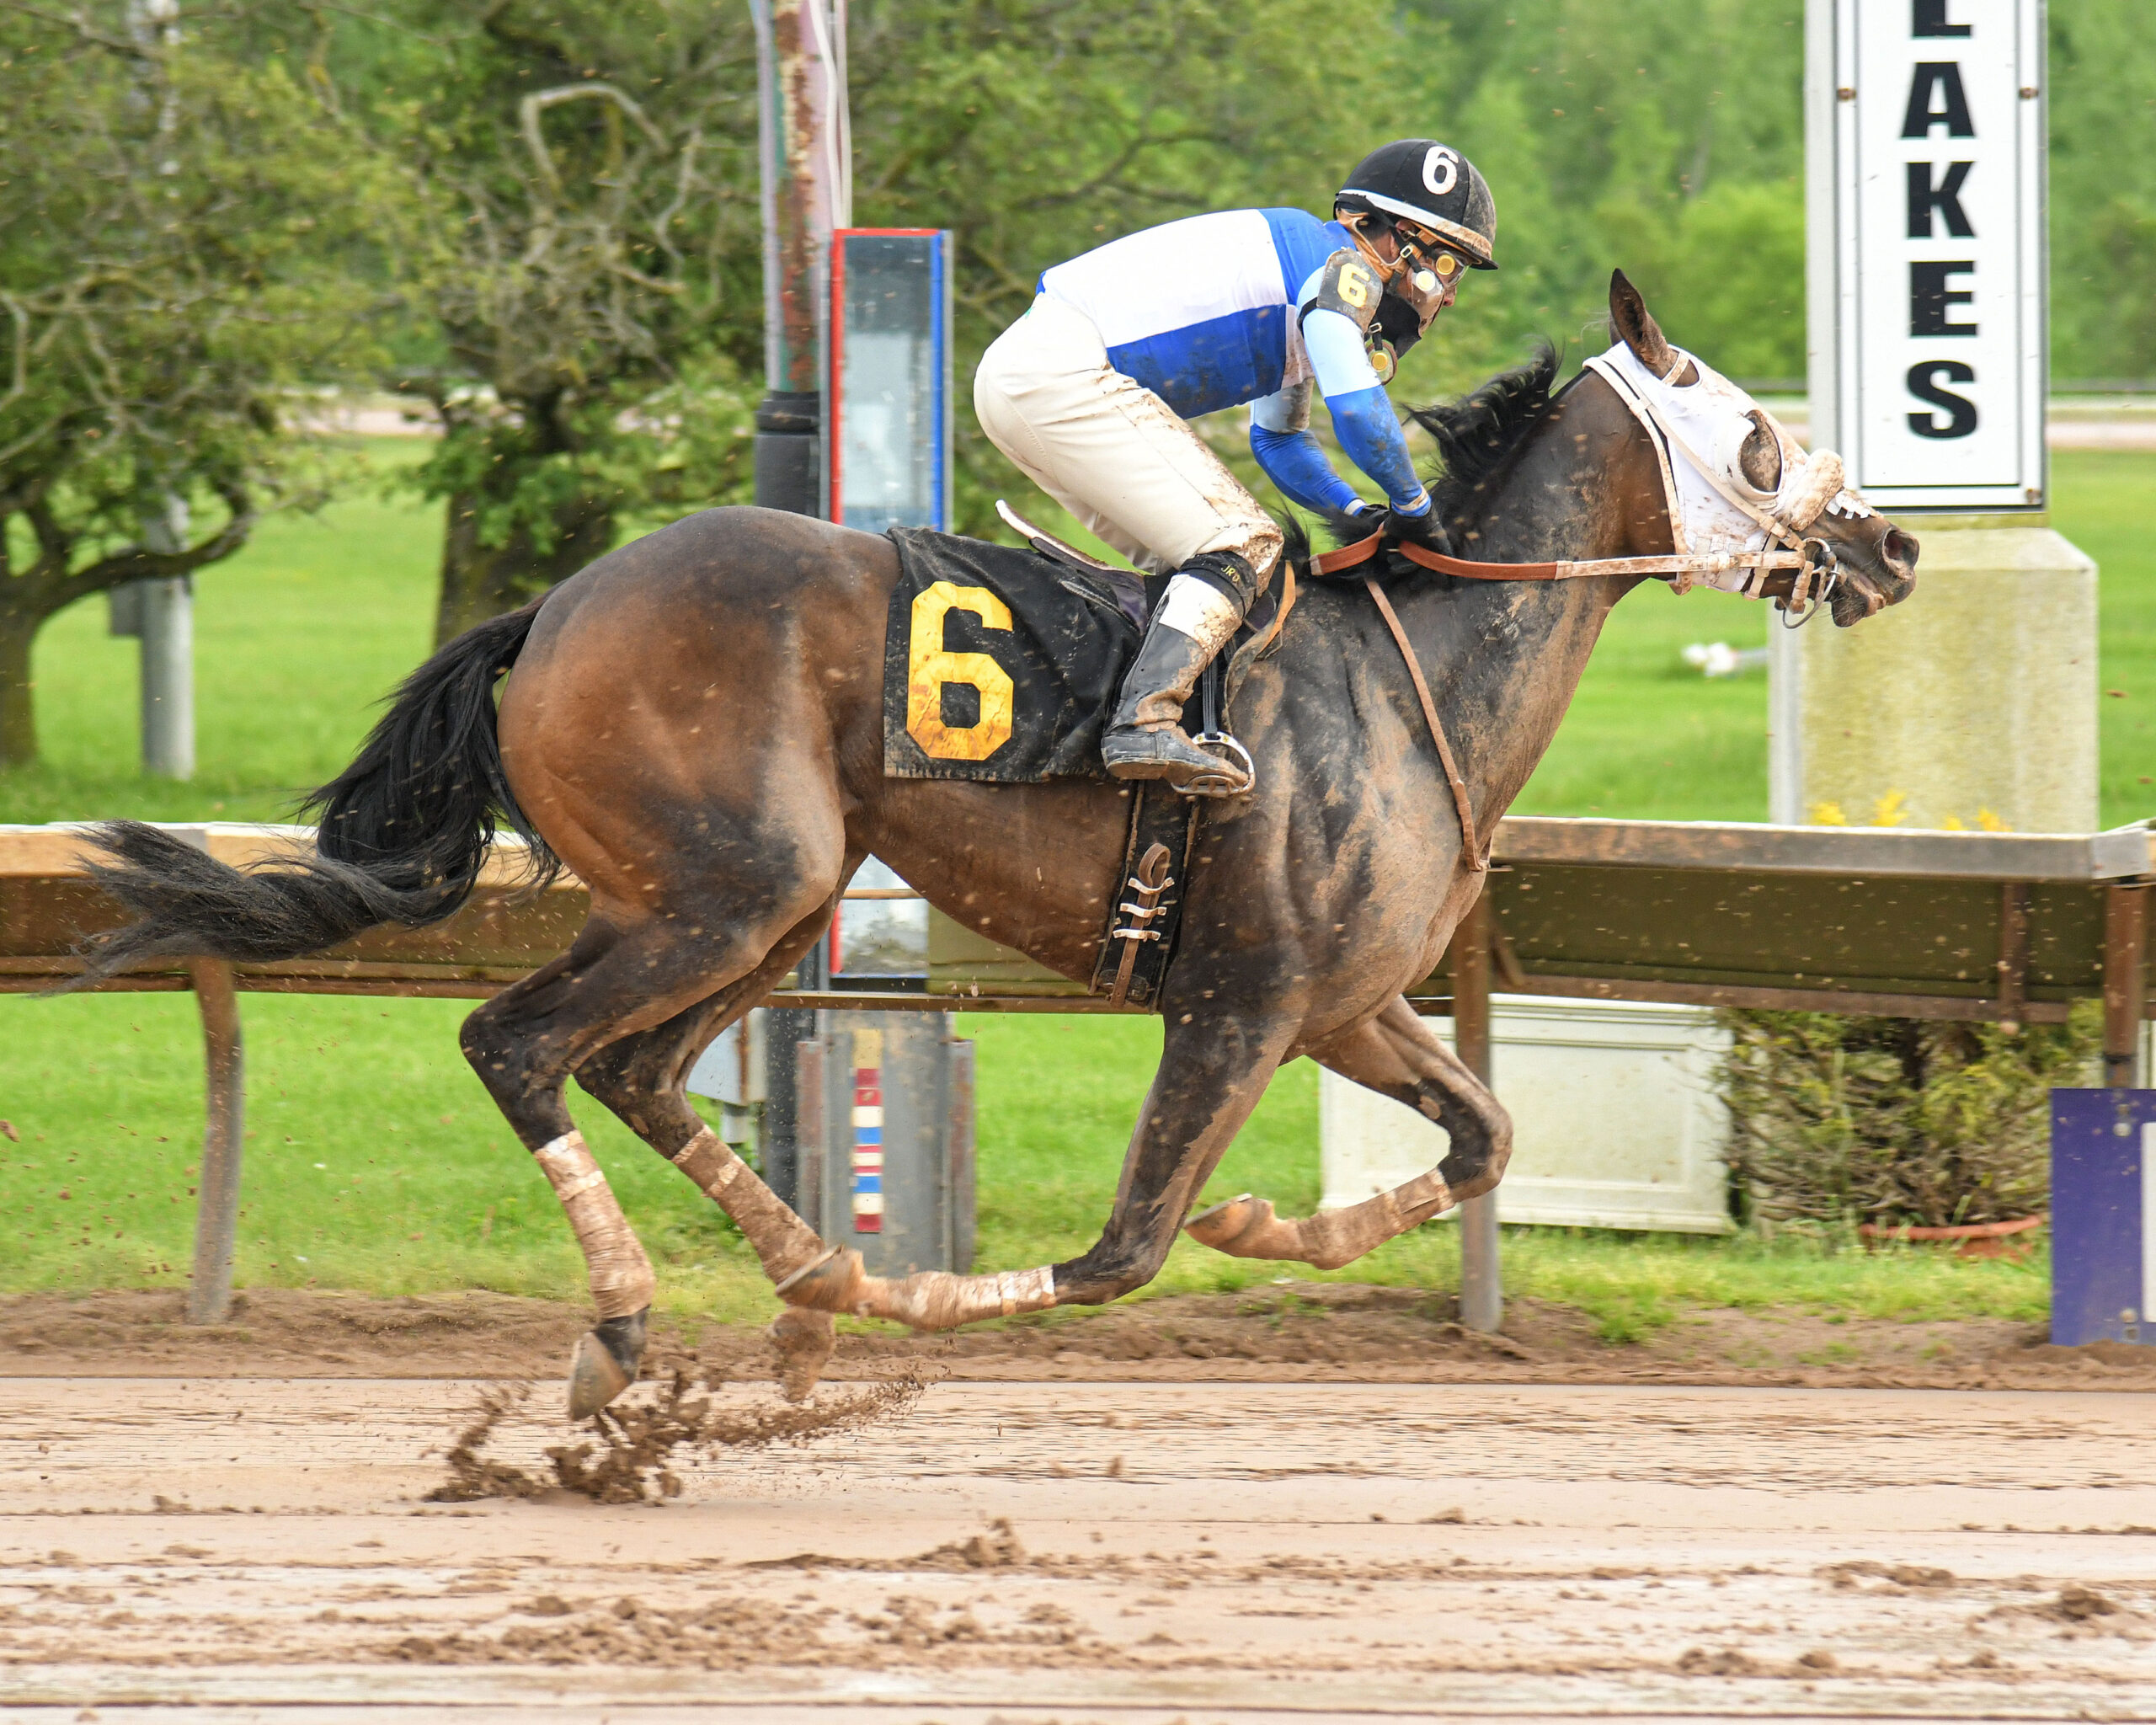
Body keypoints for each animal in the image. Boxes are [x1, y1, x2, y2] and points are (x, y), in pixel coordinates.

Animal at [77, 271, 1918, 1417]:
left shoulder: (1347, 1004)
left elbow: (1485, 1133)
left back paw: (805, 1273)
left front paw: (1269, 1227)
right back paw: (639, 1319)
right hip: (732, 885)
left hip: (762, 898)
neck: (1417, 680)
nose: (1887, 546)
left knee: (635, 1068)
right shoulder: (1242, 1001)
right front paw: (951, 1297)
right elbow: (1118, 1252)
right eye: (1756, 431)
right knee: (521, 1045)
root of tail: (554, 609)